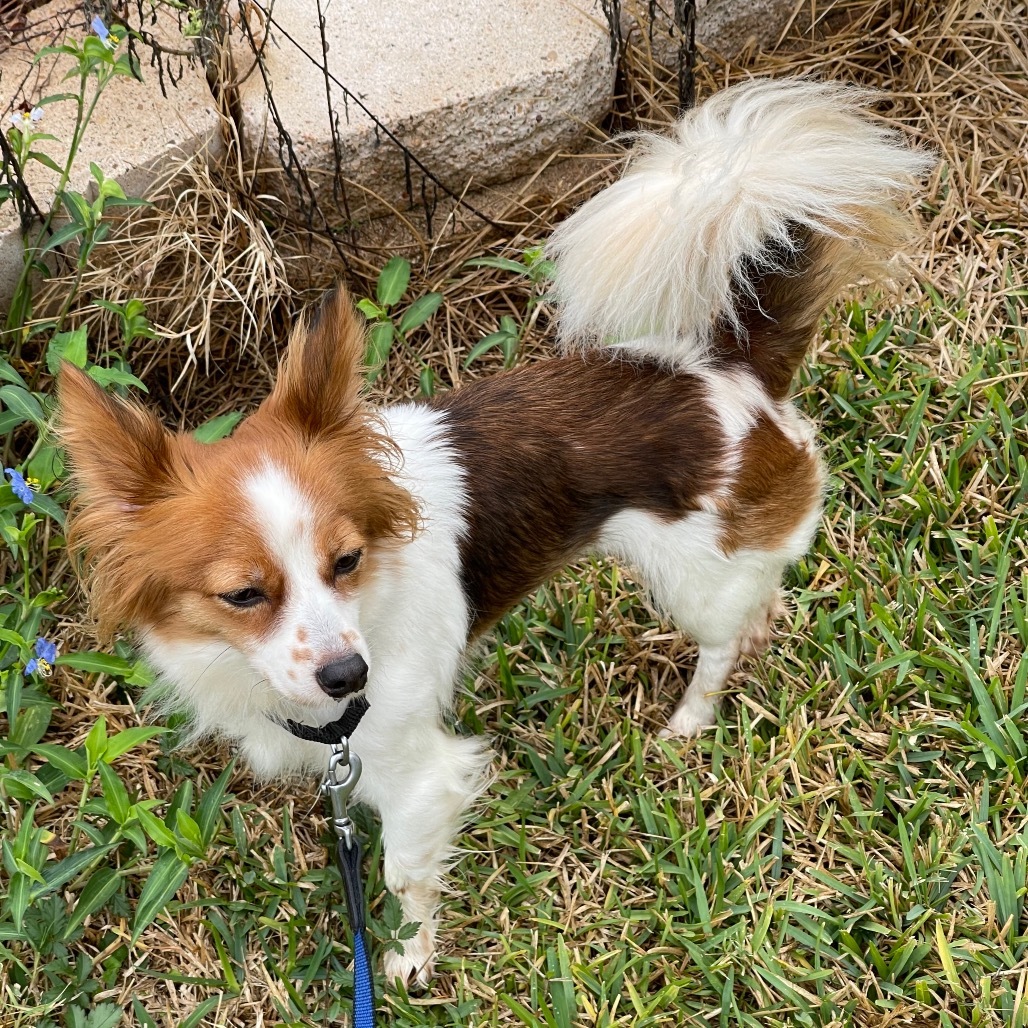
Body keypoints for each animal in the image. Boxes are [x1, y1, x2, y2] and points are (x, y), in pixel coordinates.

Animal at [60, 80, 929, 978]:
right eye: (243, 595)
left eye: (348, 560)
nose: (348, 676)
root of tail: (728, 372)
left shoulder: (416, 771)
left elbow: (405, 873)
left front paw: (407, 960)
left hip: (693, 576)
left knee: (724, 637)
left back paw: (692, 717)